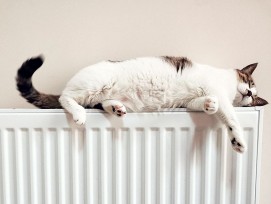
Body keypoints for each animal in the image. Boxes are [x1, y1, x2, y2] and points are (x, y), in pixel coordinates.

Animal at [15, 55, 268, 153]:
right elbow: (231, 117)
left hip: (100, 95)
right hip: (95, 84)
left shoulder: (192, 100)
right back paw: (78, 113)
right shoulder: (221, 94)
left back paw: (116, 107)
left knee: (100, 103)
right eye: (249, 82)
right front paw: (238, 140)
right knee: (65, 97)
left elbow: (205, 103)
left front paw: (209, 106)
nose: (249, 93)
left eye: (253, 97)